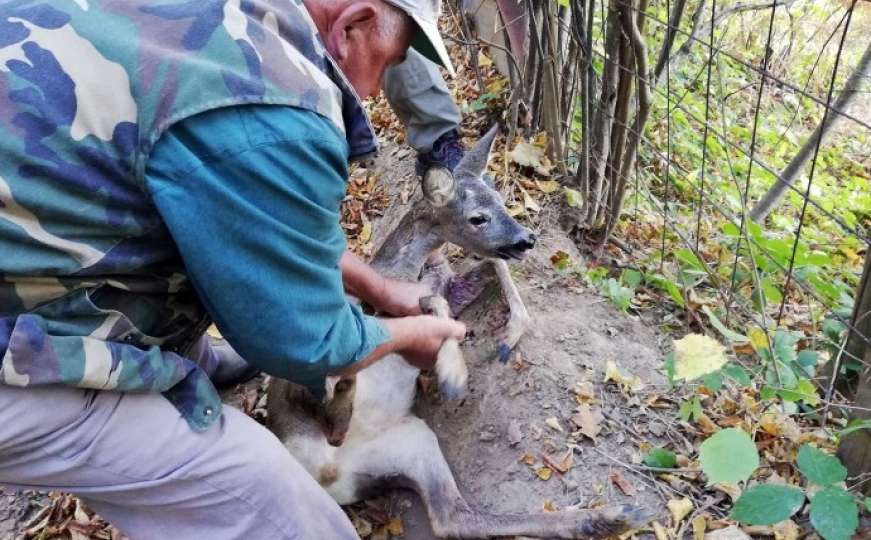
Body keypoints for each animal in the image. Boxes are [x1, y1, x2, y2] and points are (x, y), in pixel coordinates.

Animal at [270, 125, 652, 536]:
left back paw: (612, 517)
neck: (405, 274)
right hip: (303, 373)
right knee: (321, 385)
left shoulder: (446, 289)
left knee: (453, 519)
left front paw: (509, 336)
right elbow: (436, 306)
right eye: (477, 218)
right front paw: (455, 374)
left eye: (502, 200)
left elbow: (486, 272)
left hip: (414, 442)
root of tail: (326, 474)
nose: (527, 239)